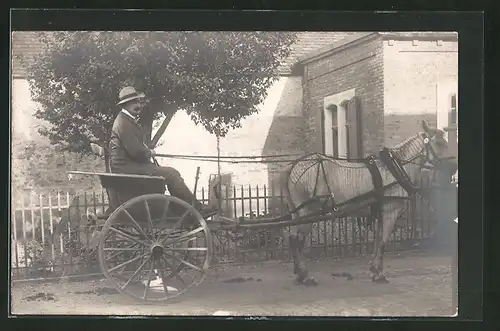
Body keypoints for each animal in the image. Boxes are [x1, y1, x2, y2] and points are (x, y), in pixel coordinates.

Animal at [280, 120, 458, 286]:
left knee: (293, 239)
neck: (394, 169)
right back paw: (305, 275)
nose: (454, 167)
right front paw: (379, 274)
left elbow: (377, 241)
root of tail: (294, 167)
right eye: (440, 143)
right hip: (308, 212)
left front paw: (374, 269)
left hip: (299, 213)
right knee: (296, 240)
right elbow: (383, 242)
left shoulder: (380, 213)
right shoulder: (390, 212)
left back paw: (300, 273)